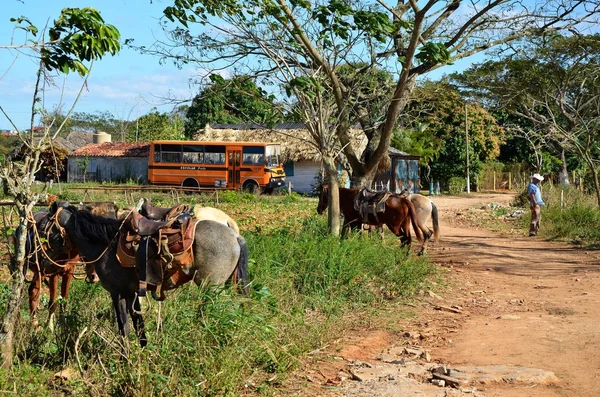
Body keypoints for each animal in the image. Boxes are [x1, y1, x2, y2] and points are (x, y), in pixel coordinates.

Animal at [45, 201, 248, 344]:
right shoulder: (131, 292)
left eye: (46, 225)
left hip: (212, 287)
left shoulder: (117, 292)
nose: (47, 260)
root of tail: (235, 235)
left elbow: (124, 328)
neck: (106, 243)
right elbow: (138, 327)